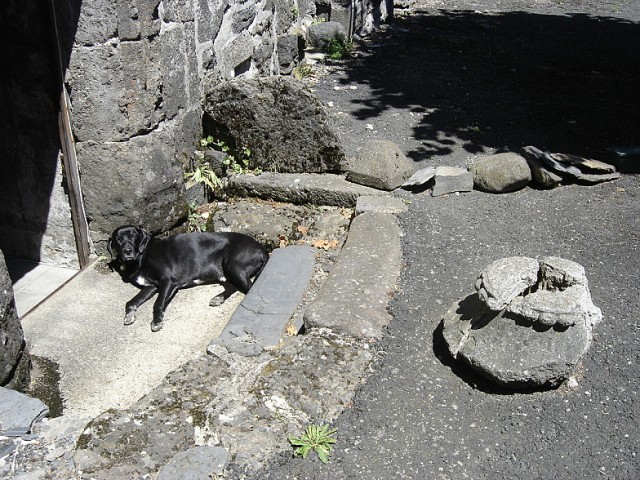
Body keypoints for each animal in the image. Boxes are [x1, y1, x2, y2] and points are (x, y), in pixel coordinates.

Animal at [109, 225, 268, 330]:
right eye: (118, 239)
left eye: (133, 236)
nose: (127, 251)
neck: (141, 257)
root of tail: (262, 249)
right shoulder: (150, 287)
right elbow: (131, 302)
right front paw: (129, 315)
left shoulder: (167, 281)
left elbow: (158, 303)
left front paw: (157, 321)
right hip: (227, 272)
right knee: (233, 286)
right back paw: (219, 297)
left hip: (233, 265)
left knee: (250, 288)